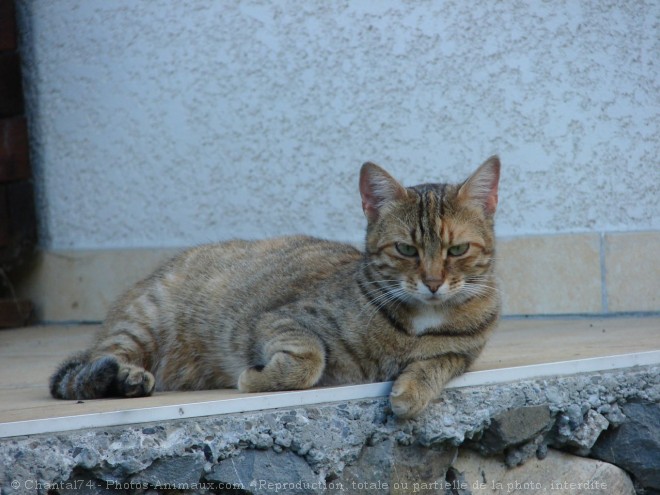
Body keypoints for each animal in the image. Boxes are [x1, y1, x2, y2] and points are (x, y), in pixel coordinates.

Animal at [50, 157, 500, 420]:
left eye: (457, 249)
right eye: (406, 249)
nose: (433, 282)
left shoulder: (462, 354)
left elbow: (435, 364)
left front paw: (409, 392)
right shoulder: (280, 319)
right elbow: (310, 358)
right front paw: (257, 379)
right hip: (141, 325)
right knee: (84, 370)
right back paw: (123, 376)